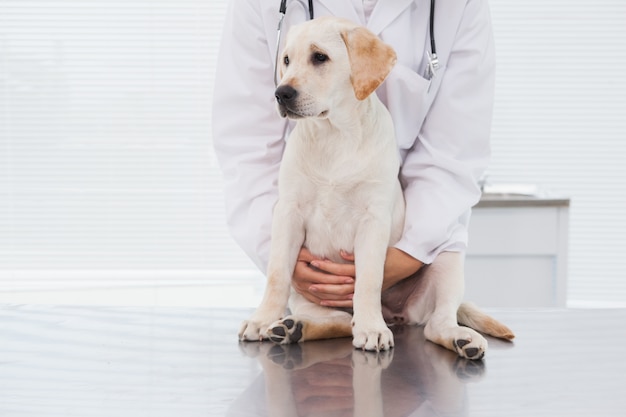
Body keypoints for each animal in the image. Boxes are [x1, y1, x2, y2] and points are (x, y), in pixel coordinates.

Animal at [239, 16, 512, 360]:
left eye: (319, 57)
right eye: (286, 60)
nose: (281, 93)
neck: (335, 135)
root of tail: (397, 315)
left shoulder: (372, 220)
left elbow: (368, 280)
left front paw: (371, 328)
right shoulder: (288, 213)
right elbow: (276, 275)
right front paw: (262, 319)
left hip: (447, 260)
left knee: (436, 323)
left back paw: (460, 338)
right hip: (306, 295)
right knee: (340, 321)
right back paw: (292, 327)